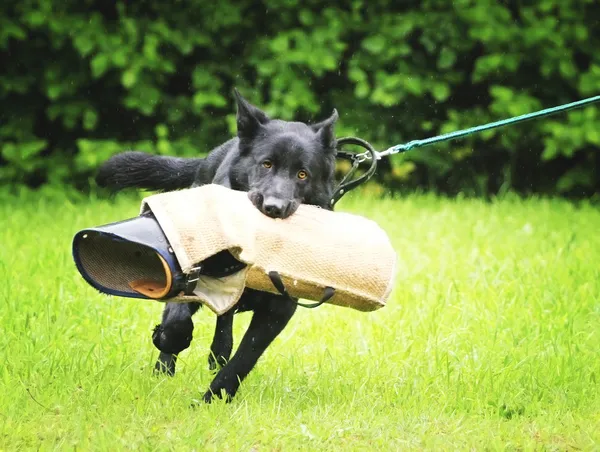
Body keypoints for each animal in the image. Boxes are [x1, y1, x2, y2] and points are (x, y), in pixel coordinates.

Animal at [95, 89, 338, 402]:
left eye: (302, 174)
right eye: (267, 164)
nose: (274, 208)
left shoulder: (279, 309)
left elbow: (246, 355)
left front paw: (216, 396)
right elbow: (176, 320)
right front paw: (167, 339)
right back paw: (164, 371)